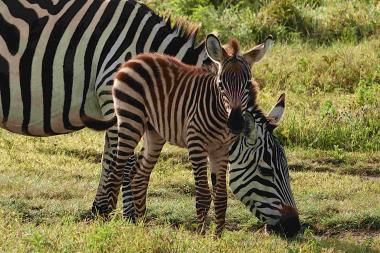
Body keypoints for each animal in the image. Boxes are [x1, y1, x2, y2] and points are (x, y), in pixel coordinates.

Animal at [110, 34, 274, 234]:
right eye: (221, 85)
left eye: (248, 85)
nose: (235, 124)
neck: (220, 116)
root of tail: (136, 58)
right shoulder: (196, 143)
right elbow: (203, 195)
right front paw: (202, 234)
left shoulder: (222, 149)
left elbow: (221, 196)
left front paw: (217, 236)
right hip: (130, 119)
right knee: (117, 171)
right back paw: (105, 217)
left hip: (154, 132)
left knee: (139, 176)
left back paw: (141, 226)